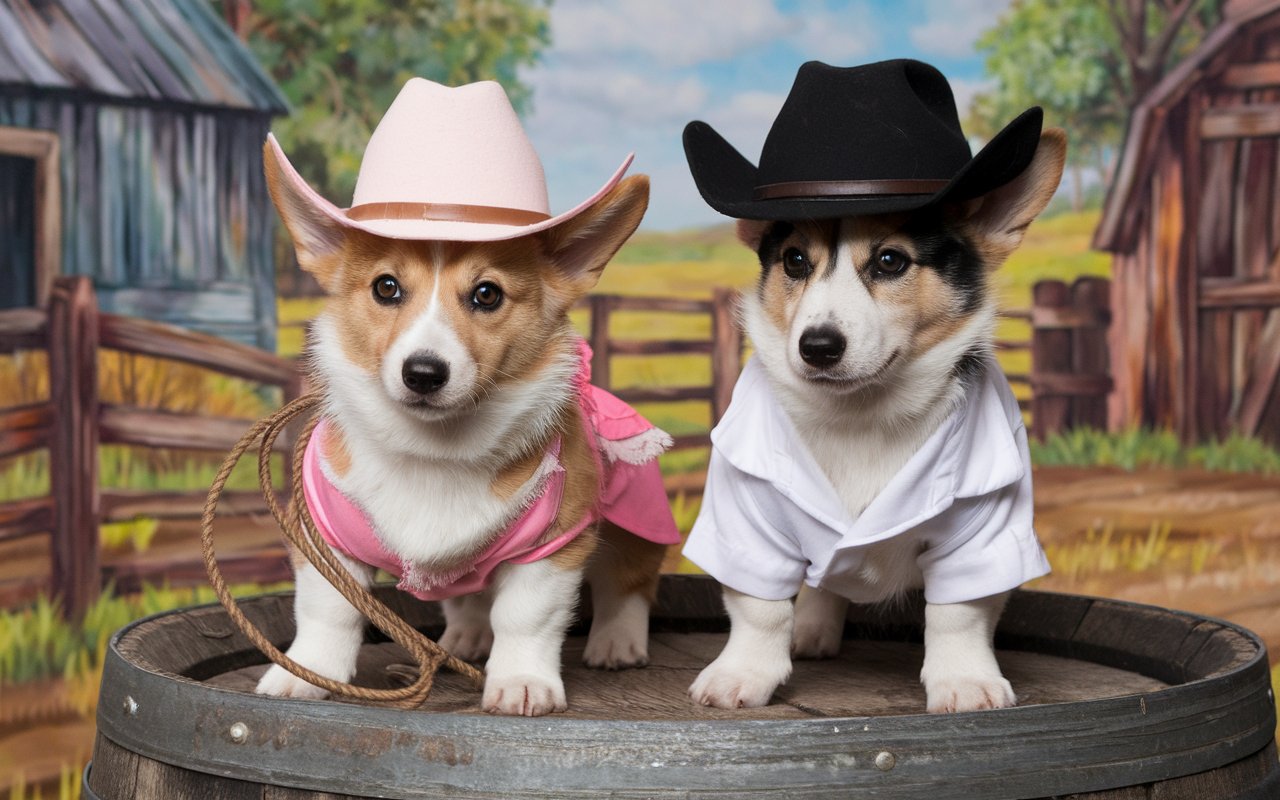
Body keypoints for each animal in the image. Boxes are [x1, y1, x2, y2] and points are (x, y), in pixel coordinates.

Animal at [248, 78, 680, 716]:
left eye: (487, 294)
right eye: (386, 287)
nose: (423, 373)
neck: (435, 450)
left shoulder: (555, 545)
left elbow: (527, 618)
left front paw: (522, 682)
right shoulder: (323, 537)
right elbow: (328, 609)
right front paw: (308, 673)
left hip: (635, 522)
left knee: (627, 585)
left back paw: (617, 643)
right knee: (469, 594)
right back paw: (467, 637)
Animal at [686, 60, 1064, 711]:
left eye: (890, 261)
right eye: (794, 260)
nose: (817, 347)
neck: (860, 415)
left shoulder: (984, 533)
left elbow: (958, 614)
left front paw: (965, 680)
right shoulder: (745, 518)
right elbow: (759, 608)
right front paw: (743, 673)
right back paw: (813, 628)